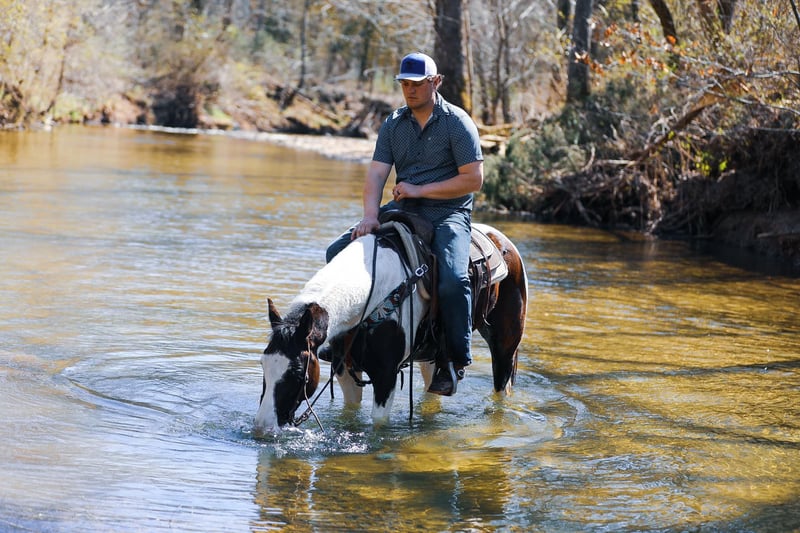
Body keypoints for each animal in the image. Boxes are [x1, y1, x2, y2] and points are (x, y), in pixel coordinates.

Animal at [253, 219, 528, 435]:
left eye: (298, 373)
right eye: (263, 365)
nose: (262, 428)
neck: (373, 296)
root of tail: (503, 242)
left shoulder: (386, 376)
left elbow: (378, 425)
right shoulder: (345, 369)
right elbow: (350, 413)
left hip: (505, 347)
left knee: (501, 391)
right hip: (431, 357)